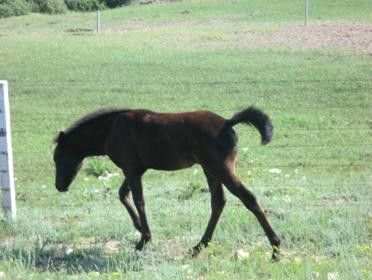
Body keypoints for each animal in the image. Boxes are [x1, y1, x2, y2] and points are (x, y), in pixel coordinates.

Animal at [52, 106, 280, 260]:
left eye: (58, 157)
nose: (59, 186)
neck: (111, 128)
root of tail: (227, 122)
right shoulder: (135, 169)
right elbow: (123, 194)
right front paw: (139, 228)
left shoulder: (131, 169)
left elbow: (138, 200)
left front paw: (144, 239)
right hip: (210, 169)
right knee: (218, 202)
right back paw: (199, 246)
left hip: (220, 168)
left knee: (247, 198)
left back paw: (276, 249)